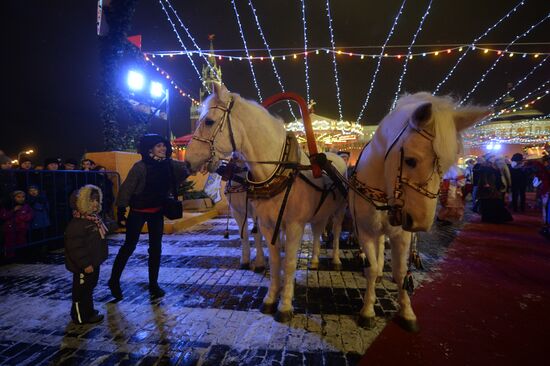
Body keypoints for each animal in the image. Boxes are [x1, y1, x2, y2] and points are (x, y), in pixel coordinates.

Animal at [188, 82, 348, 320]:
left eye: (209, 121)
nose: (188, 160)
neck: (280, 170)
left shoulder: (294, 225)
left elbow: (288, 263)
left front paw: (285, 305)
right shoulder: (265, 222)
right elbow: (272, 258)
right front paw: (271, 298)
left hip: (339, 211)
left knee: (335, 231)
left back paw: (336, 259)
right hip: (319, 213)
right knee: (318, 231)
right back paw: (314, 260)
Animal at [352, 92, 490, 332]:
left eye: (448, 164)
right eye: (410, 160)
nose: (420, 224)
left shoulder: (402, 234)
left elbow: (400, 273)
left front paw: (407, 311)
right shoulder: (366, 230)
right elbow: (371, 268)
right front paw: (367, 310)